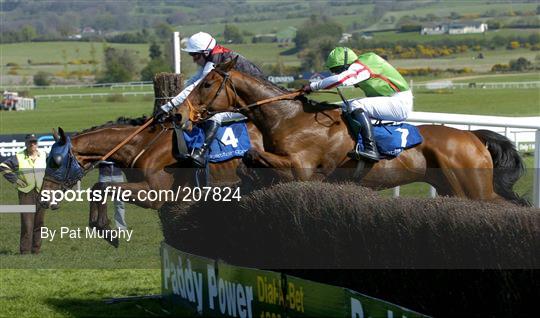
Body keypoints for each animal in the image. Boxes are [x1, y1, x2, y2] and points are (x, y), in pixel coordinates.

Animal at [40, 117, 264, 246]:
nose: (44, 198)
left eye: (54, 161)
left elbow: (101, 187)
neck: (141, 145)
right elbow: (98, 187)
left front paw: (105, 228)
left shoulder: (153, 194)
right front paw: (99, 225)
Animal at [181, 59, 528, 206]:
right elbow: (247, 162)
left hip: (474, 189)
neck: (289, 118)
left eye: (207, 84)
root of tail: (473, 137)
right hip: (450, 188)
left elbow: (252, 156)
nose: (182, 113)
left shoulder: (300, 168)